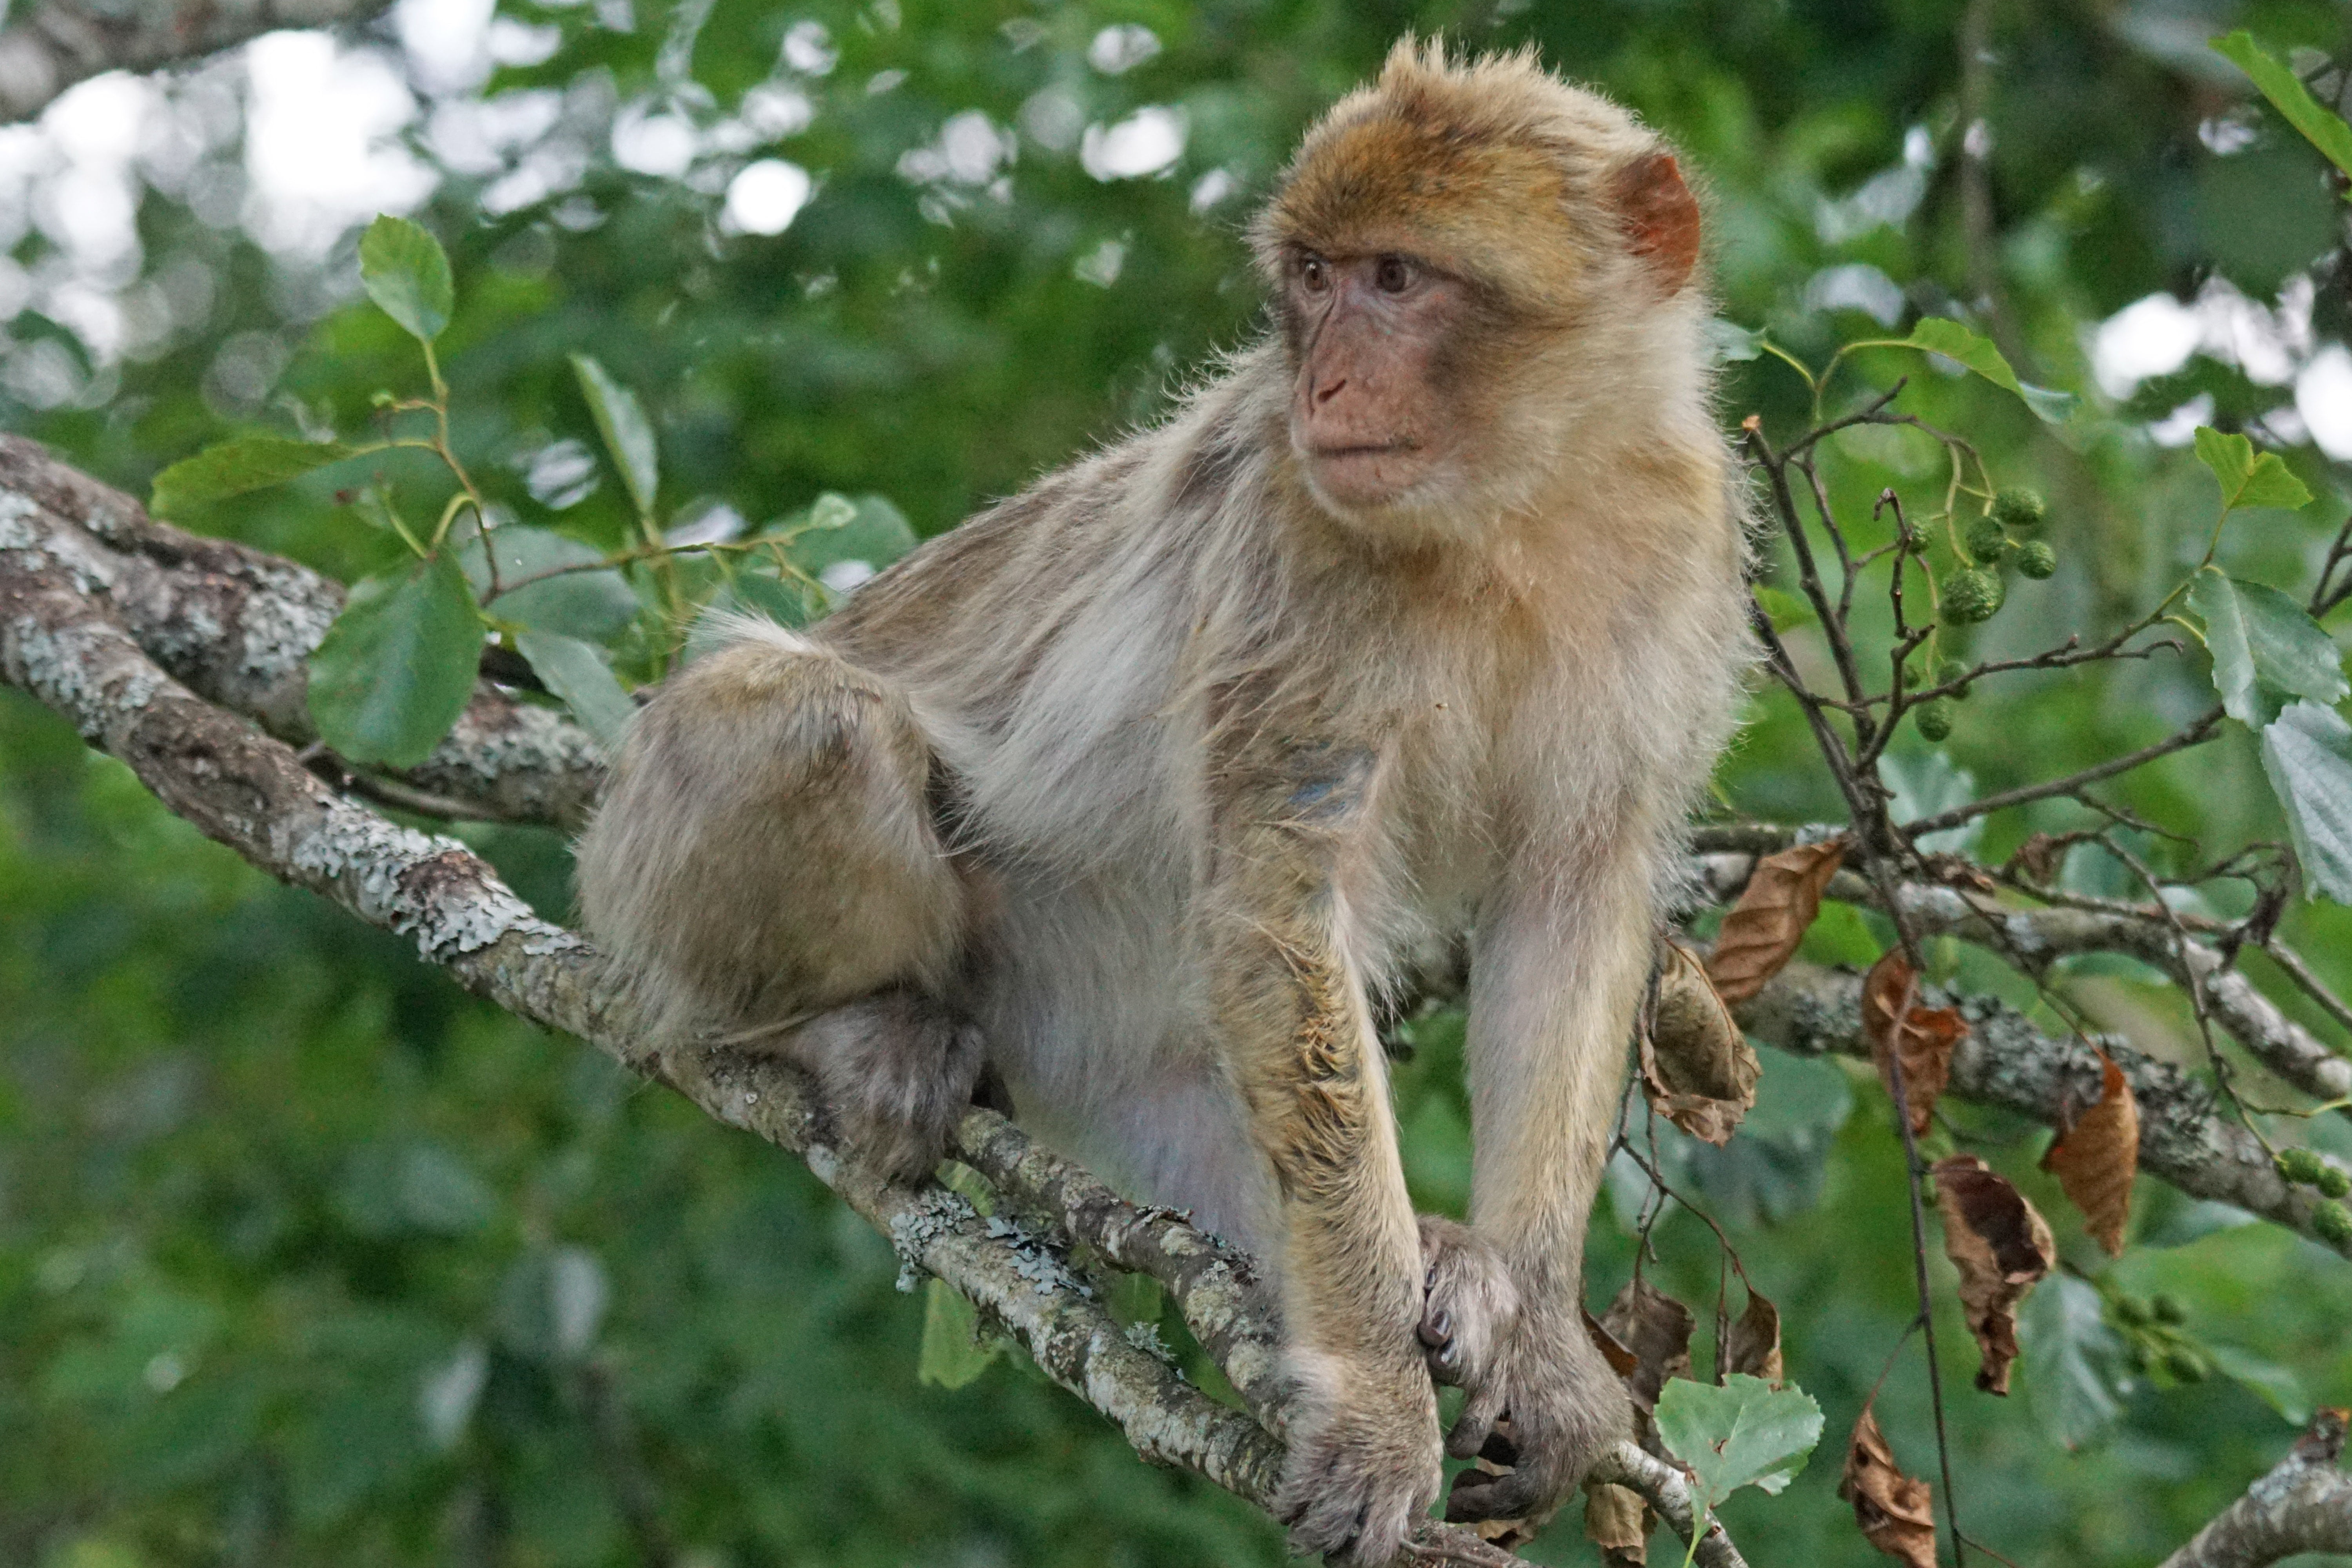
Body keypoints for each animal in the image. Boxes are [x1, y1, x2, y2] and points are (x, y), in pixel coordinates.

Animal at [576, 40, 1748, 1566]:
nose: (1325, 384)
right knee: (814, 734)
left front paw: (1538, 1333)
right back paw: (838, 1031)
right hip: (658, 837)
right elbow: (1278, 911)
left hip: (1136, 1058)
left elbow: (1572, 895)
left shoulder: (1682, 542)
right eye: (1313, 279)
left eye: (1397, 280)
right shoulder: (1299, 553)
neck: (1520, 504)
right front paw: (1377, 1407)